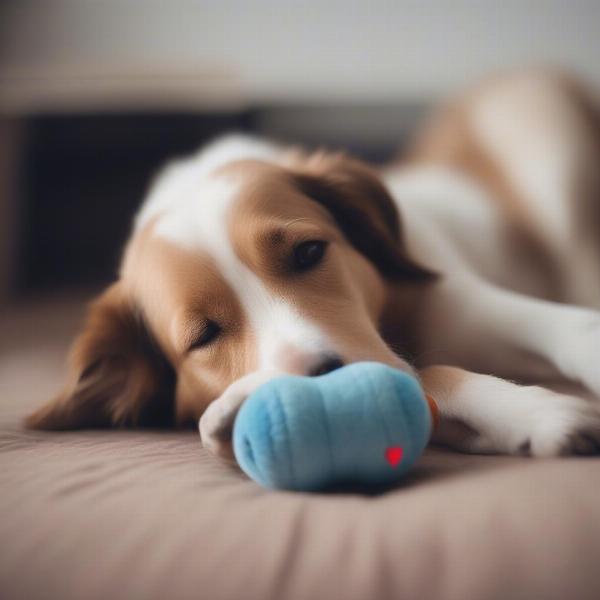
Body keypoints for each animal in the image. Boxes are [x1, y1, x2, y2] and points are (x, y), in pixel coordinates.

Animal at [25, 69, 600, 460]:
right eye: (204, 334)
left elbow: (572, 327)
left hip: (547, 149)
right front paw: (534, 414)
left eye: (308, 252)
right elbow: (429, 376)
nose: (324, 380)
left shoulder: (463, 304)